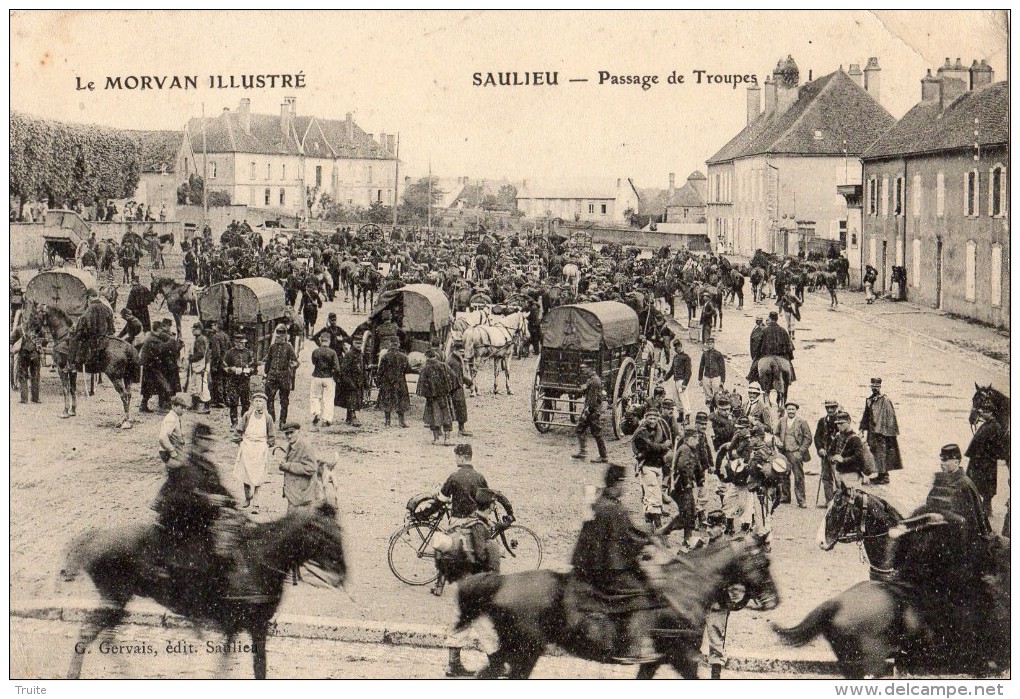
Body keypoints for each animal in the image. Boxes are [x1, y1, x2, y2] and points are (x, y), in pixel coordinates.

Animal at [60, 502, 346, 677]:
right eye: (326, 535)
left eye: (339, 532)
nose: (342, 575)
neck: (258, 556)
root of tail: (93, 537)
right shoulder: (237, 625)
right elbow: (227, 668)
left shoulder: (256, 626)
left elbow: (259, 667)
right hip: (114, 598)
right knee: (88, 632)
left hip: (117, 601)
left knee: (105, 635)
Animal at [450, 534, 775, 677]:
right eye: (763, 563)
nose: (774, 600)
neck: (684, 589)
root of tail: (501, 582)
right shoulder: (681, 654)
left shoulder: (655, 659)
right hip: (525, 651)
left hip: (515, 649)